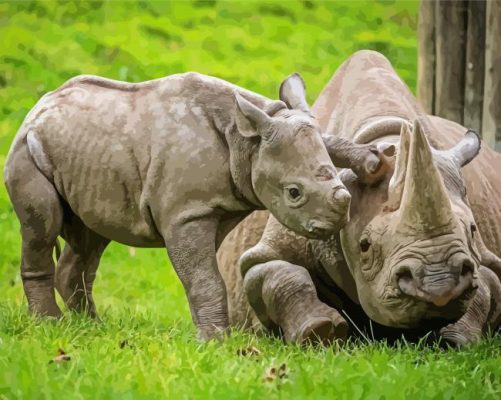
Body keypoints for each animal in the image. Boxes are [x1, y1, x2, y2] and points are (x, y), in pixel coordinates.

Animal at [3, 70, 380, 340]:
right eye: (294, 193)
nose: (337, 218)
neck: (246, 142)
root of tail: (38, 107)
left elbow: (202, 274)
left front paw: (374, 161)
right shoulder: (187, 214)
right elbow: (205, 278)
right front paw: (215, 343)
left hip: (85, 158)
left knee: (90, 237)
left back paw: (92, 328)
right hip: (26, 149)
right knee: (43, 228)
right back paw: (49, 326)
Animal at [218, 51, 500, 346]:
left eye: (472, 230)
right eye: (365, 246)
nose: (440, 285)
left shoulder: (485, 255)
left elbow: (485, 284)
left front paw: (454, 339)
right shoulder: (278, 238)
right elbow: (278, 273)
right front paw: (319, 331)